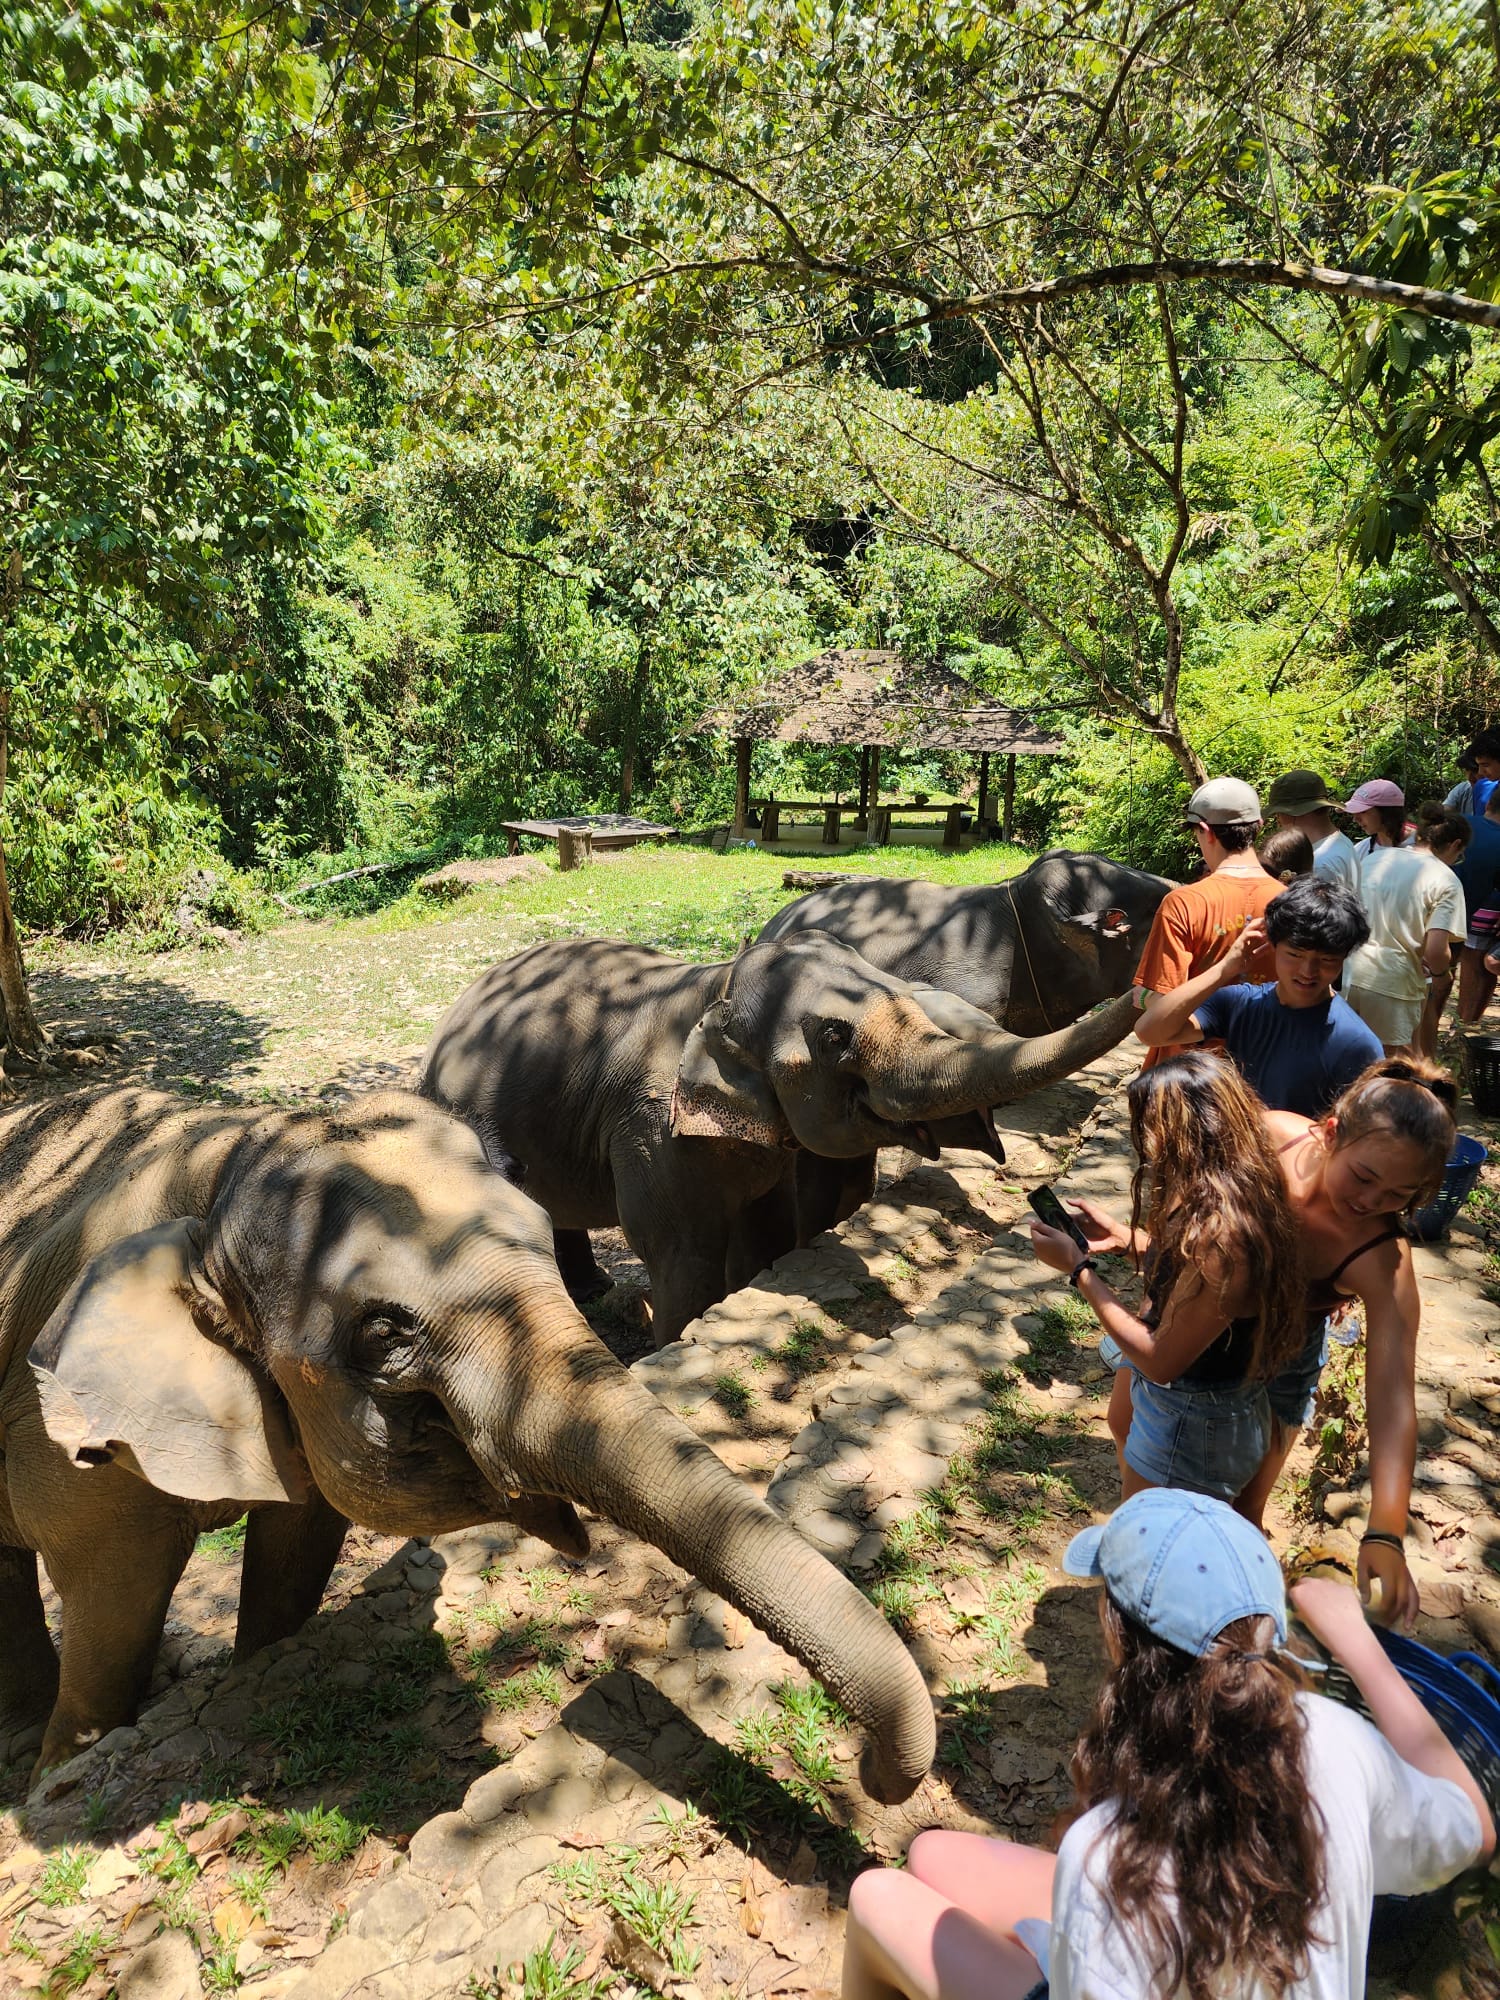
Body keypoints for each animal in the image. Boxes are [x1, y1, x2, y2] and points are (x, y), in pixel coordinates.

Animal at [0, 1087, 935, 1798]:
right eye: (382, 1334)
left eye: (541, 1235)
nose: (872, 1779)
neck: (226, 1162)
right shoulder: (57, 1429)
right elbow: (114, 1598)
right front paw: (57, 1774)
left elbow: (298, 1544)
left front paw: (252, 1664)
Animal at [420, 930, 1137, 1345]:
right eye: (835, 1037)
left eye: (908, 997)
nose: (1141, 991)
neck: (716, 984)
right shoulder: (650, 1129)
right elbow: (682, 1254)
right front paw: (672, 1340)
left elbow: (765, 1232)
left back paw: (593, 1293)